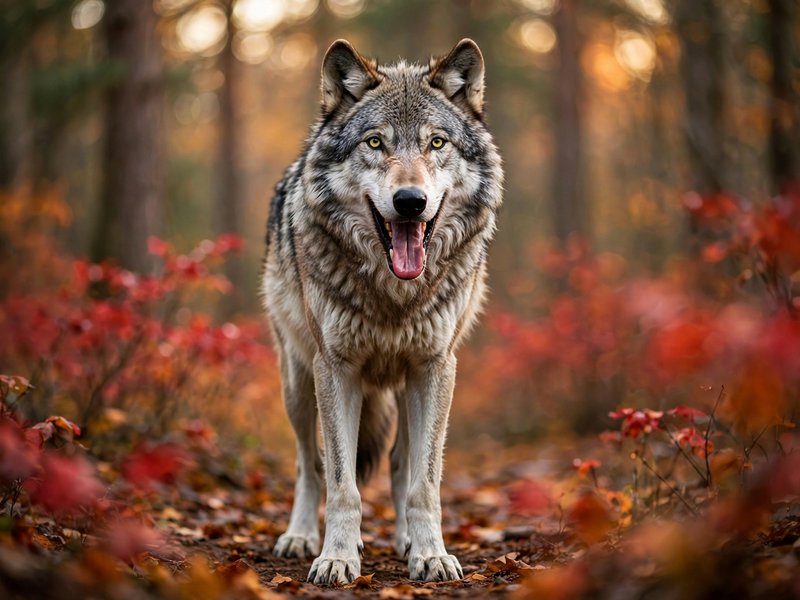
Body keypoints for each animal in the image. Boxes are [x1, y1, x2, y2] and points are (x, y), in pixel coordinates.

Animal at [262, 38, 503, 585]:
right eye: (374, 143)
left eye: (437, 143)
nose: (410, 201)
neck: (395, 294)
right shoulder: (336, 369)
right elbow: (341, 482)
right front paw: (336, 557)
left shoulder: (435, 367)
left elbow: (424, 483)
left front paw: (431, 554)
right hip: (296, 384)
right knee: (308, 465)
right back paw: (300, 536)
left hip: (411, 387)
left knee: (400, 464)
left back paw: (407, 541)